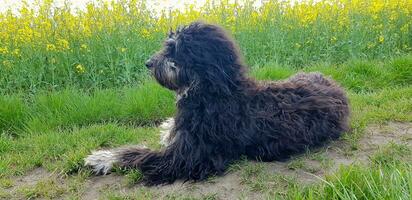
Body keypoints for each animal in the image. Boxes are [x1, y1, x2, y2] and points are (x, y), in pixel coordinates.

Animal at [85, 21, 350, 185]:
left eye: (175, 50)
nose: (148, 63)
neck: (213, 91)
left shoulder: (189, 158)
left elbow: (139, 154)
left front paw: (103, 158)